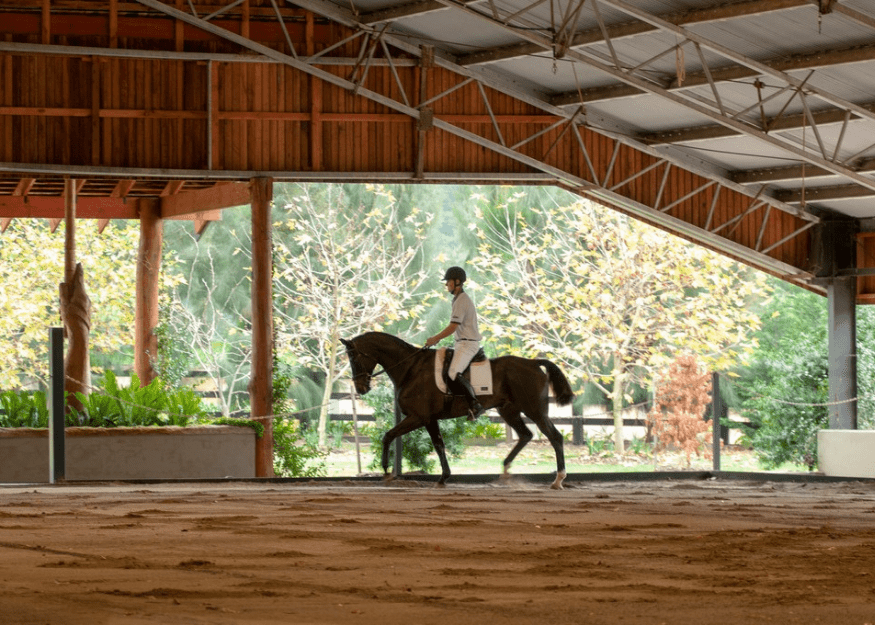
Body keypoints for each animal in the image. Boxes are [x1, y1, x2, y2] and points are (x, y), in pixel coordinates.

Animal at [340, 332, 576, 488]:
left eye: (353, 357)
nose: (360, 388)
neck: (411, 368)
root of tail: (534, 363)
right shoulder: (426, 419)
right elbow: (429, 443)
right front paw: (442, 476)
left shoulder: (420, 417)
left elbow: (397, 437)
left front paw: (388, 470)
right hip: (509, 411)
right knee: (525, 435)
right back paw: (506, 470)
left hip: (535, 411)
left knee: (555, 437)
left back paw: (558, 479)